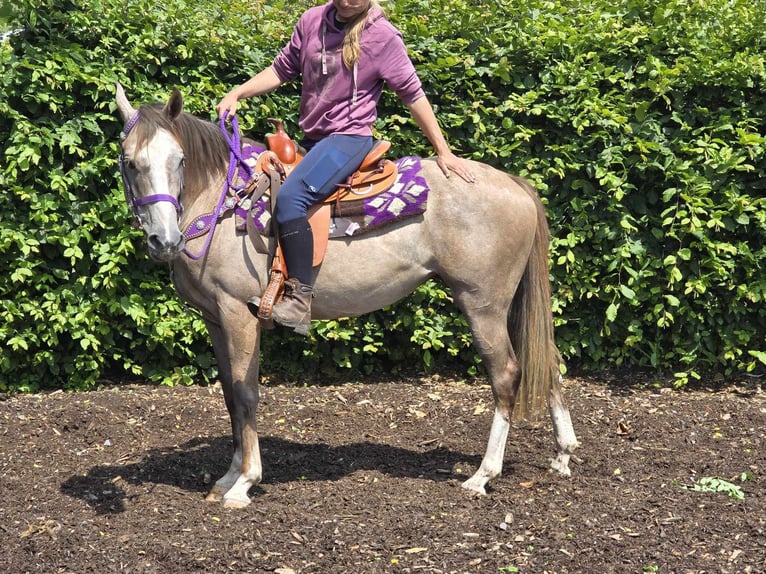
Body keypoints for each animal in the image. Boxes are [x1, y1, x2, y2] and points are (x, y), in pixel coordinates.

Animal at [115, 84, 584, 508]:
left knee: (506, 373)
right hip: (507, 305)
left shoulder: (238, 314)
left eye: (179, 160)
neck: (224, 205)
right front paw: (228, 476)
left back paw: (483, 475)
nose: (163, 240)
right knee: (549, 359)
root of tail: (515, 183)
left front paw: (244, 483)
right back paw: (562, 454)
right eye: (130, 162)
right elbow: (230, 395)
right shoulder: (215, 318)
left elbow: (246, 393)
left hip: (482, 304)